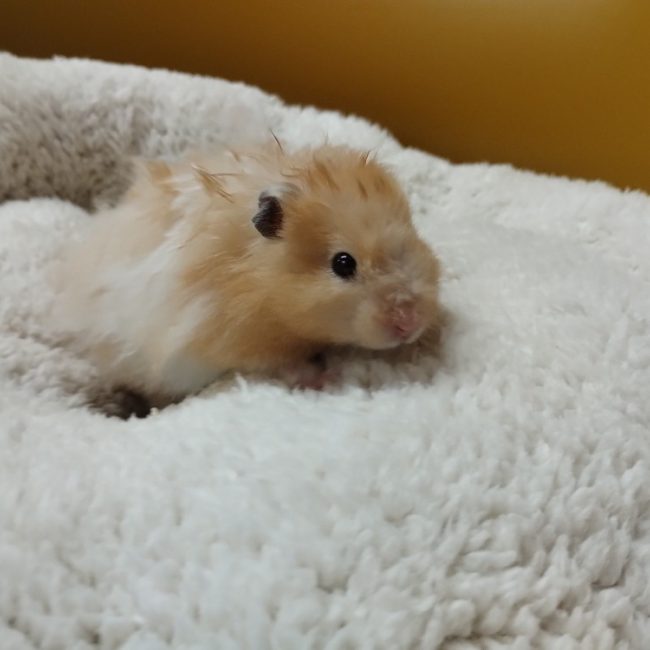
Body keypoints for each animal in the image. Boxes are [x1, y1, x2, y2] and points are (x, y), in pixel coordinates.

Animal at [52, 141, 441, 413]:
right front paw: (327, 379)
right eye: (343, 263)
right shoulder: (233, 342)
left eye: (413, 238)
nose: (410, 322)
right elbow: (285, 366)